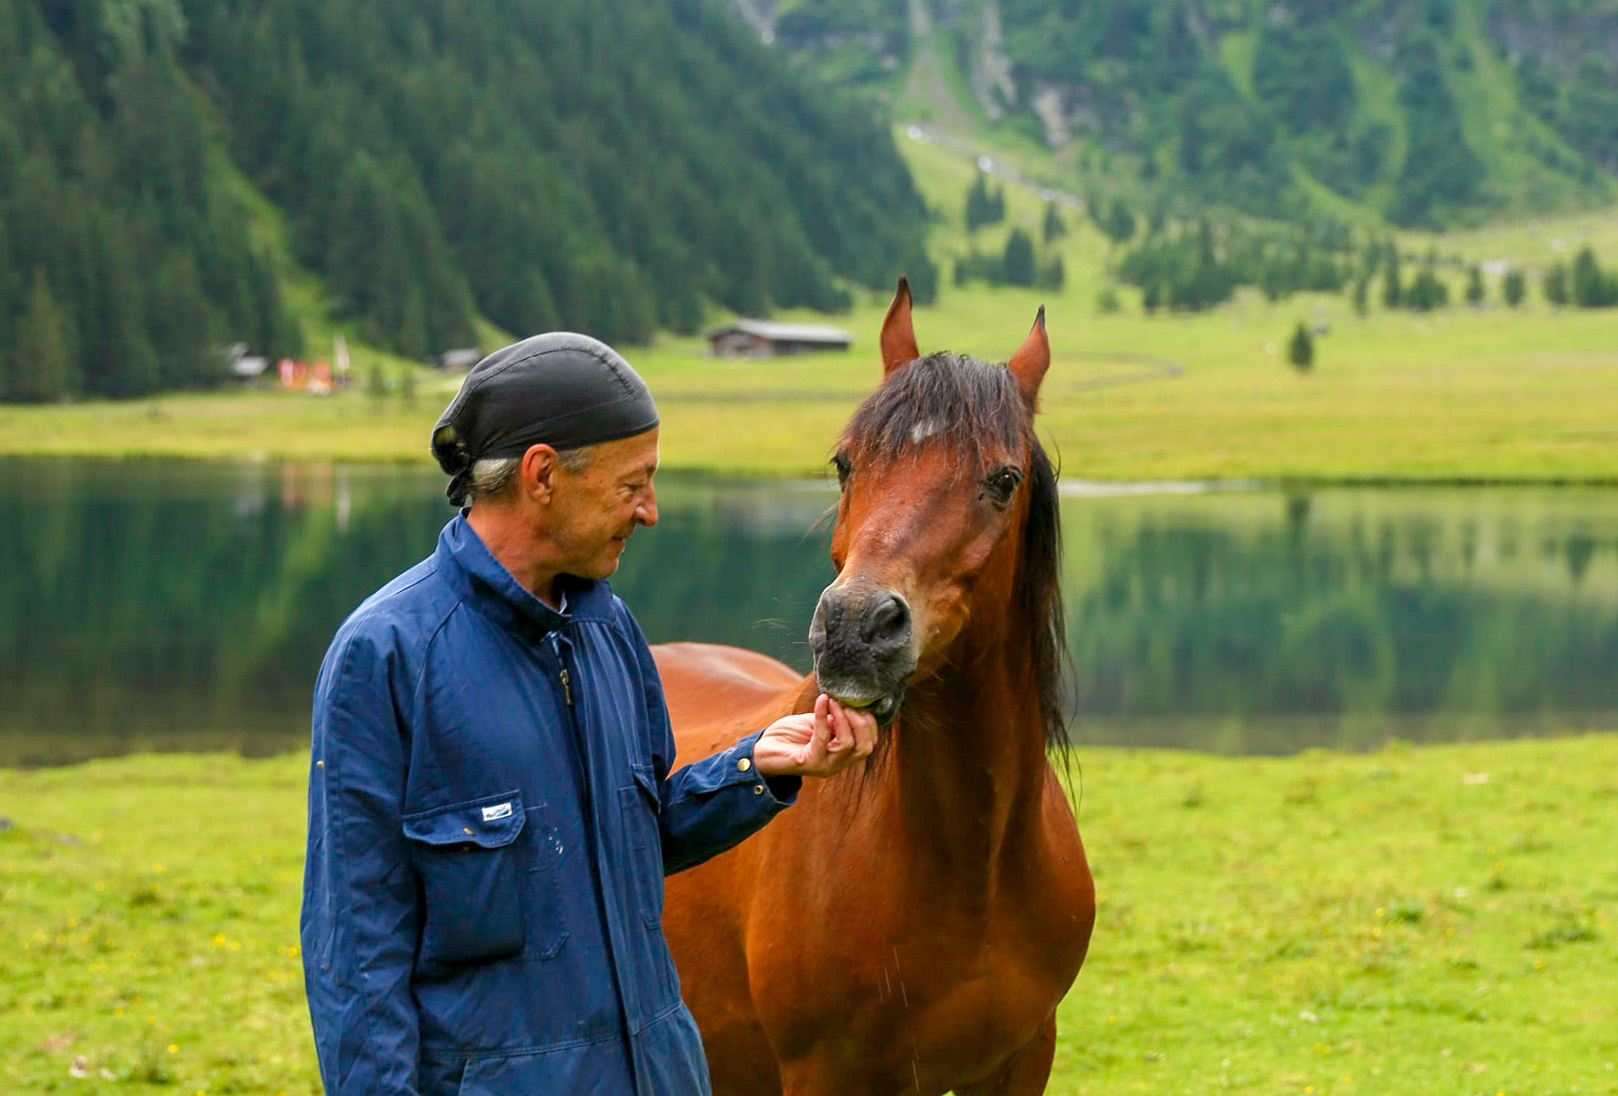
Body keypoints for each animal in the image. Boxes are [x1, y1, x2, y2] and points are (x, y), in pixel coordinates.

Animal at [650, 281, 1093, 1094]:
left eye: (1003, 480)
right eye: (844, 463)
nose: (855, 628)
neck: (972, 869)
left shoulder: (1020, 1061)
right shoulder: (829, 1074)